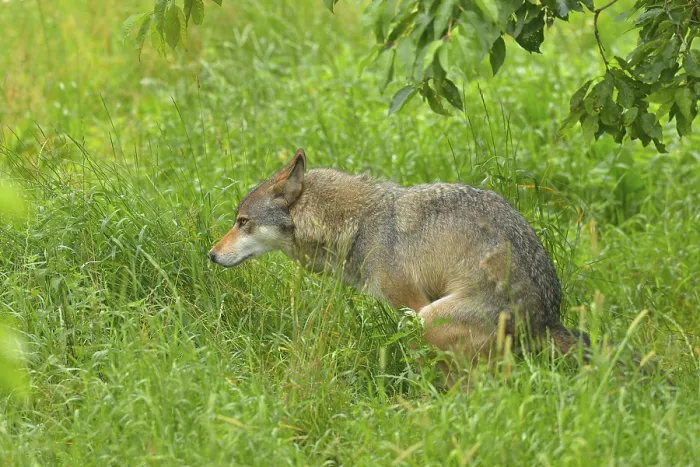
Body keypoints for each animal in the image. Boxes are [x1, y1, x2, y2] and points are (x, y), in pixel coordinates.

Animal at [209, 149, 588, 374]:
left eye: (242, 222)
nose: (211, 254)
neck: (360, 225)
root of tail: (548, 318)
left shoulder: (412, 303)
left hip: (430, 318)